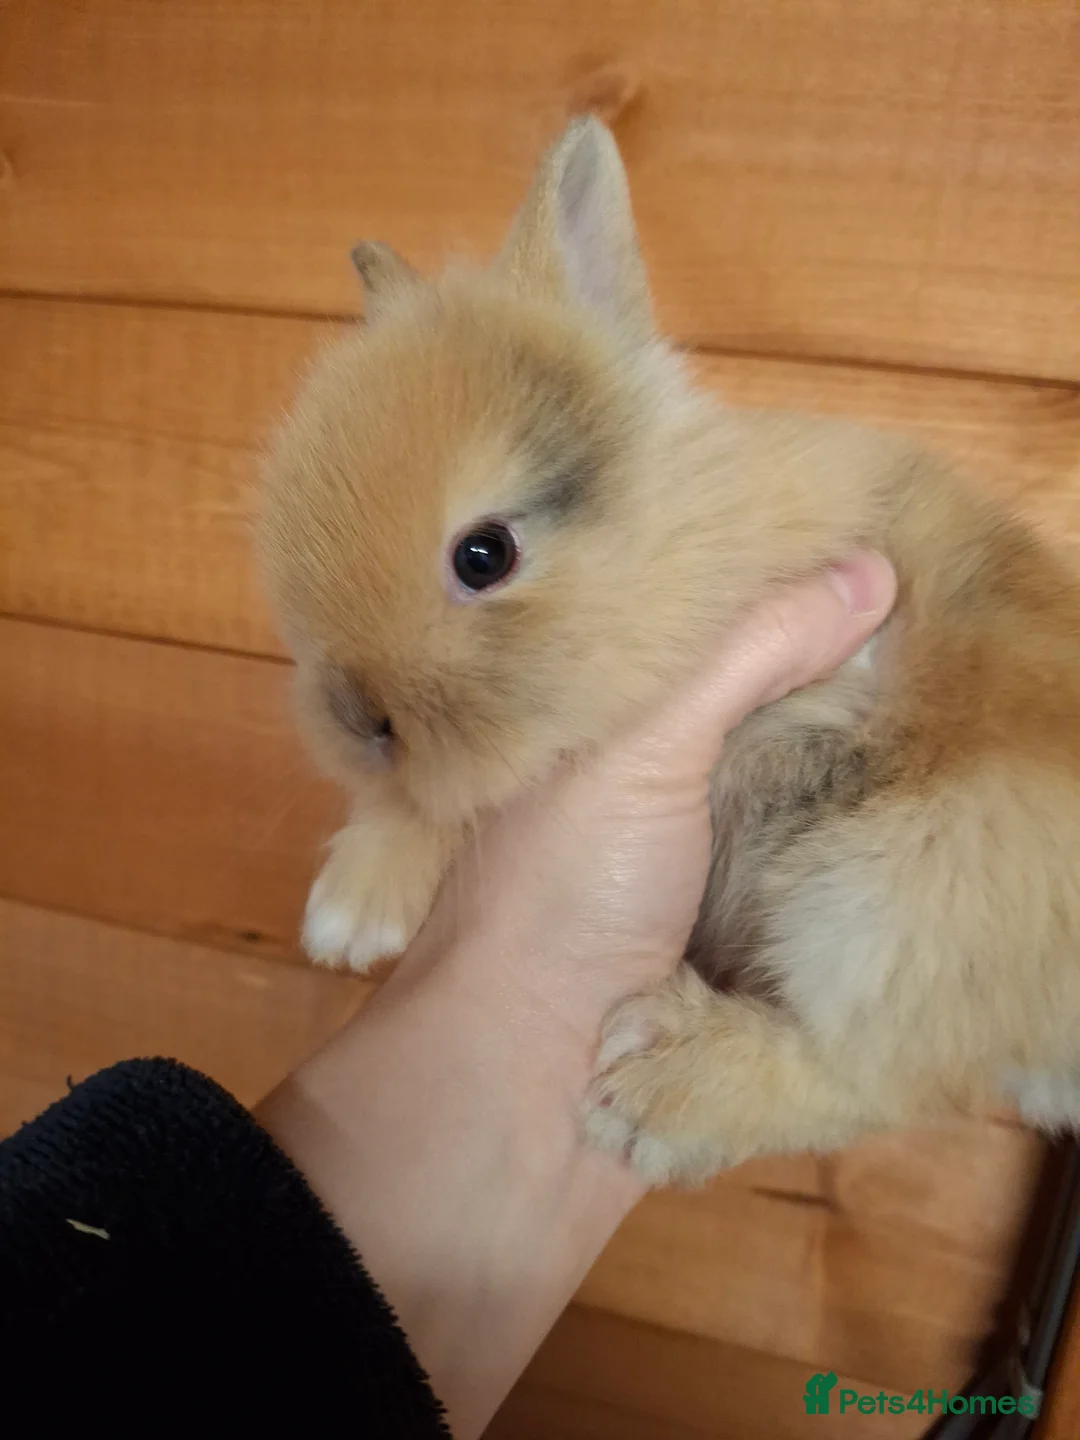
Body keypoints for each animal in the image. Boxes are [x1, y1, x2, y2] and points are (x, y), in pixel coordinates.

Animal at [258, 116, 1080, 1185]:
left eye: (484, 554)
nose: (358, 720)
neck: (676, 530)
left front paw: (349, 914)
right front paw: (354, 911)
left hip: (894, 899)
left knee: (874, 1079)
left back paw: (659, 1082)